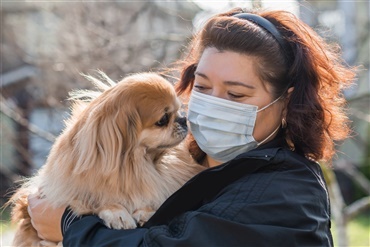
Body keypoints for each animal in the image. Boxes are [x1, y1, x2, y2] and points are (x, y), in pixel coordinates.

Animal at [7, 71, 205, 245]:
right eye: (163, 119)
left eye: (179, 110)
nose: (183, 119)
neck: (136, 165)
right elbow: (94, 200)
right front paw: (117, 213)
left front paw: (146, 211)